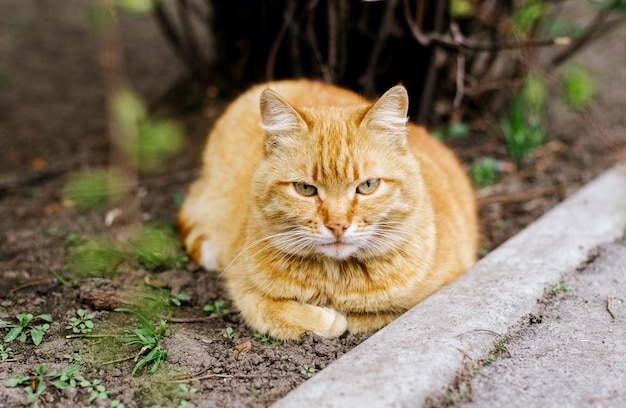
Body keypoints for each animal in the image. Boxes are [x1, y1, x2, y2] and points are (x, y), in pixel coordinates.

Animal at [178, 79, 476, 342]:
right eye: (305, 189)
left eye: (367, 186)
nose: (338, 225)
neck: (336, 279)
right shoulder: (241, 285)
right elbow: (268, 309)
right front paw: (328, 319)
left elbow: (374, 315)